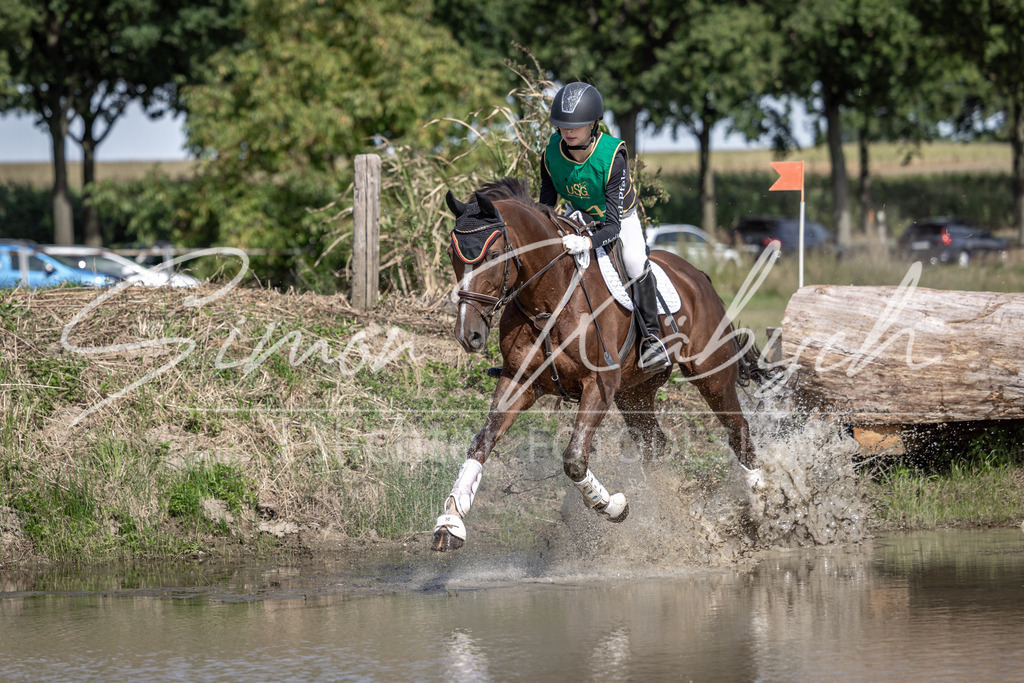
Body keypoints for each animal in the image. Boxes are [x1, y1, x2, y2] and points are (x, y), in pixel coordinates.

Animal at [433, 177, 766, 551]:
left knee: (738, 432)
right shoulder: (519, 382)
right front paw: (450, 522)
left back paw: (762, 507)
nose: (469, 334)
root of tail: (698, 276)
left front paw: (611, 506)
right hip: (635, 393)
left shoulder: (599, 385)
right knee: (654, 444)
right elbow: (483, 442)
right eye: (452, 256)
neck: (549, 299)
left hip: (712, 376)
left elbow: (575, 459)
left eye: (493, 255)